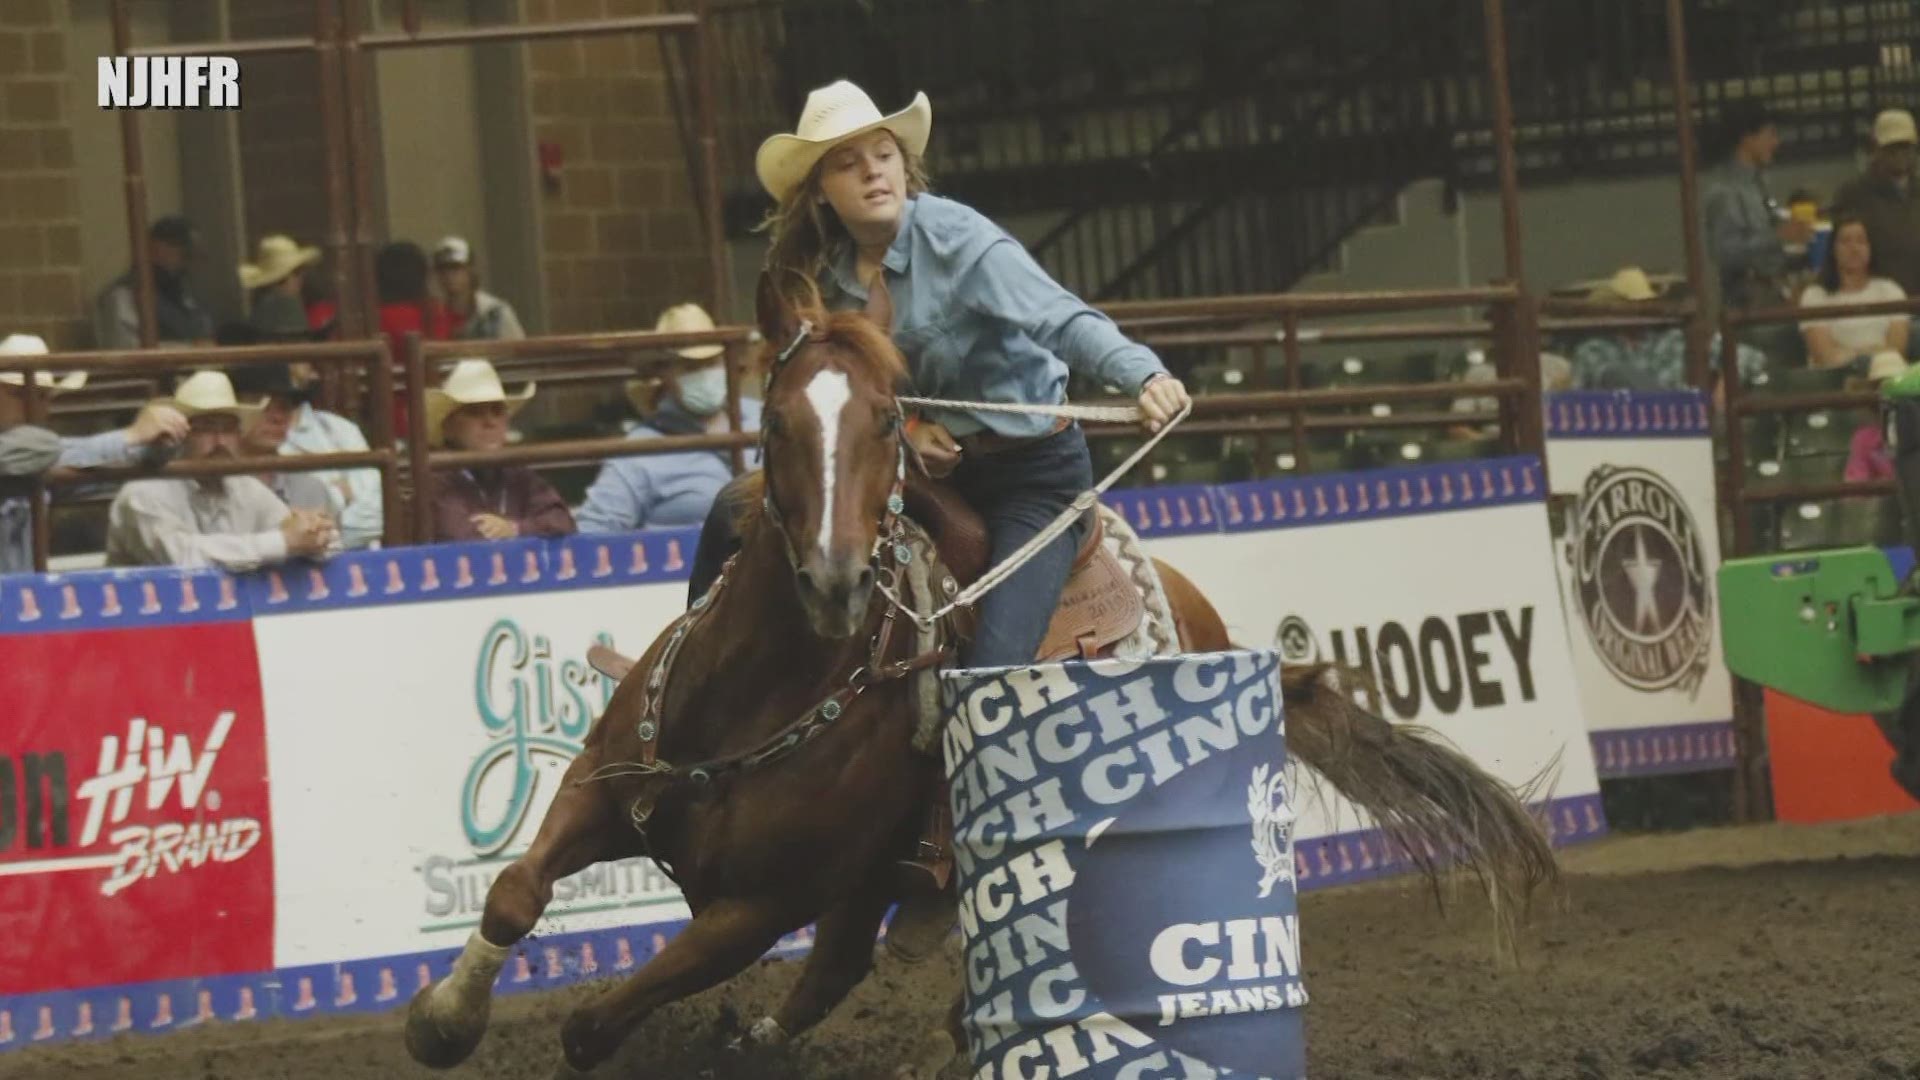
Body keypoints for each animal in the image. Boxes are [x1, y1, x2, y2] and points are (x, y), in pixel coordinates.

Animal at [408, 272, 1559, 1068]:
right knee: (837, 968)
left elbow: (594, 1026)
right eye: (775, 420)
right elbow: (512, 892)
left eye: (885, 420)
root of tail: (1205, 618)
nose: (835, 579)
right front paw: (441, 1021)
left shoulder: (759, 907)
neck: (762, 696)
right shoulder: (601, 787)